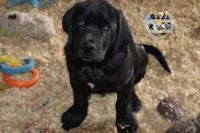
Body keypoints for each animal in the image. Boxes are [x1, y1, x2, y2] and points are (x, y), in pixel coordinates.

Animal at [61, 0, 170, 132]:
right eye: (80, 22)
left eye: (106, 28)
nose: (87, 46)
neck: (94, 66)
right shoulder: (76, 78)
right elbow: (79, 99)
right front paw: (75, 116)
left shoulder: (125, 81)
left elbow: (123, 103)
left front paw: (125, 123)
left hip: (142, 58)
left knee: (132, 86)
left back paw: (134, 101)